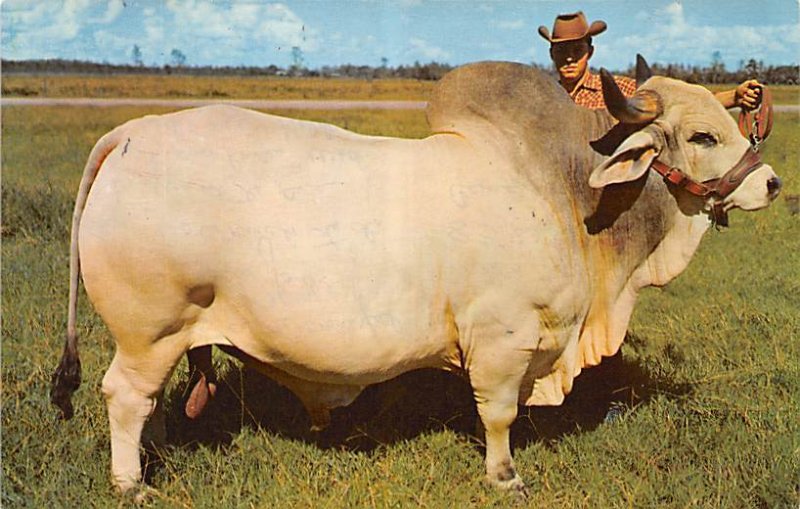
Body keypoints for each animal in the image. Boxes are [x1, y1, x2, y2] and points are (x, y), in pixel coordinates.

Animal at [51, 58, 780, 492]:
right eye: (703, 136)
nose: (772, 182)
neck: (562, 189)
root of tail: (134, 134)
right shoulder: (502, 339)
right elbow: (497, 414)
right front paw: (504, 477)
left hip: (170, 336)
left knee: (150, 402)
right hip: (150, 329)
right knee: (124, 396)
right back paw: (132, 483)